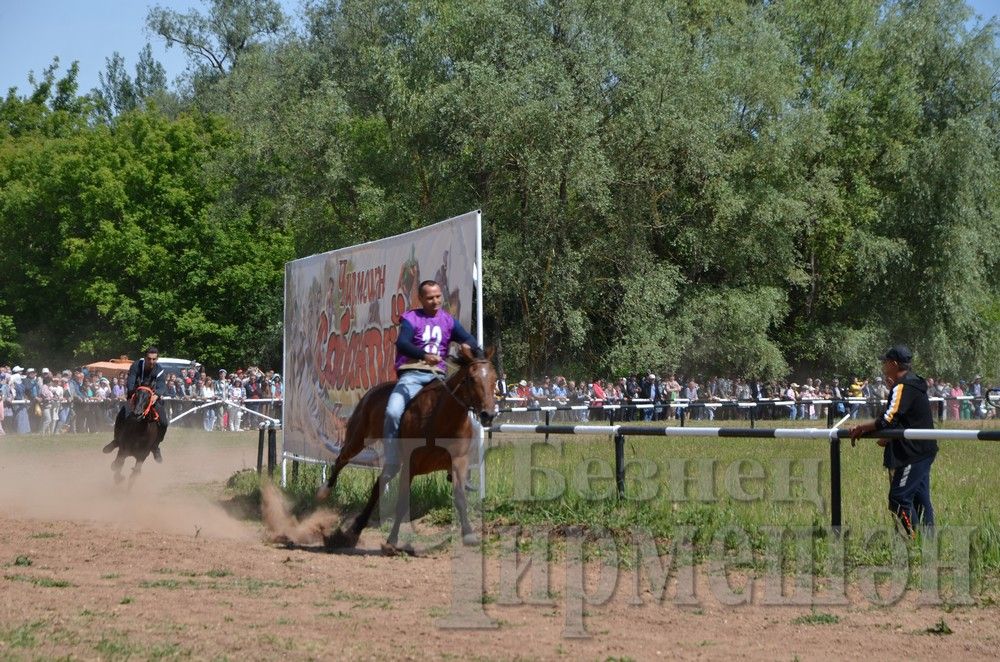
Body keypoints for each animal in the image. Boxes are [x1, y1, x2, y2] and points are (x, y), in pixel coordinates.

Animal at [316, 344, 496, 556]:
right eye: (472, 378)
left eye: (494, 378)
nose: (488, 414)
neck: (440, 419)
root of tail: (371, 392)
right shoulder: (410, 465)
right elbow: (402, 503)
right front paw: (391, 541)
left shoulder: (459, 461)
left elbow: (460, 497)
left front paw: (468, 534)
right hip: (358, 438)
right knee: (341, 459)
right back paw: (324, 491)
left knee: (378, 484)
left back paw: (356, 529)